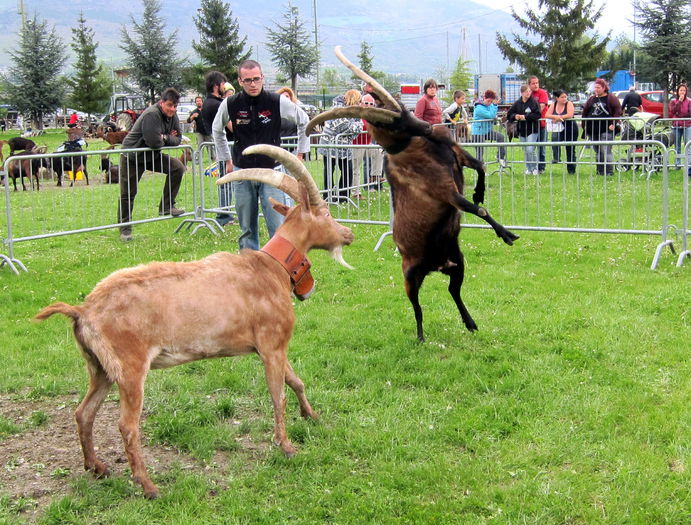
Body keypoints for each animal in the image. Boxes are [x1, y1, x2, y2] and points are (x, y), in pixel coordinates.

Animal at [35, 144, 354, 500]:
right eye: (325, 213)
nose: (349, 234)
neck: (270, 269)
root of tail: (83, 310)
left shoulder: (270, 347)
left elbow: (295, 381)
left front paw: (312, 415)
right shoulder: (272, 345)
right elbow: (278, 395)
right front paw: (286, 447)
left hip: (101, 367)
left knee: (83, 412)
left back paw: (97, 467)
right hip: (130, 368)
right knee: (127, 425)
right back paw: (148, 486)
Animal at [308, 45, 520, 340]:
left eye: (403, 110)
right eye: (392, 124)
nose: (427, 127)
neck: (417, 146)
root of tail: (436, 266)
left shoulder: (457, 155)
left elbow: (480, 169)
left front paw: (480, 193)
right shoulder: (443, 190)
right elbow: (477, 209)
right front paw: (506, 234)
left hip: (458, 262)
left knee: (453, 290)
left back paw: (470, 322)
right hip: (409, 276)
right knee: (417, 306)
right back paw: (420, 336)